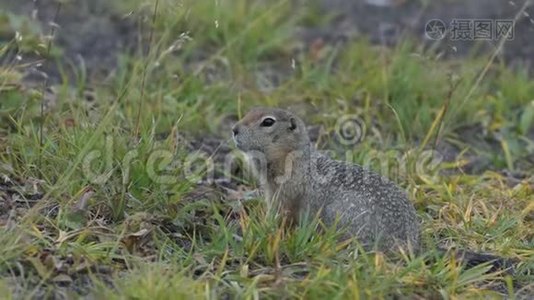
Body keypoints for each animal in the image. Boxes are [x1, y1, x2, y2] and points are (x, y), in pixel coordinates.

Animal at [232, 106, 420, 252]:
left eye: (268, 122)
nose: (234, 129)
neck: (292, 156)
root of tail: (409, 241)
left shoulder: (283, 194)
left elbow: (280, 217)